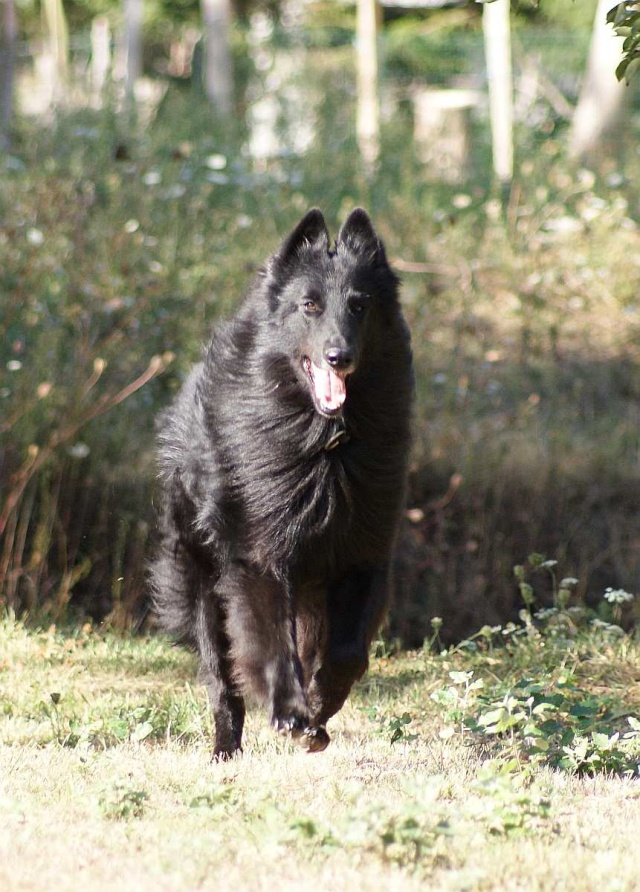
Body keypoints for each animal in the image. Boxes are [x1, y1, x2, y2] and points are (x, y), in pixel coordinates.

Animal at [152, 209, 412, 760]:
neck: (324, 447)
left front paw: (318, 707)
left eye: (360, 306)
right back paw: (225, 751)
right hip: (204, 581)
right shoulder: (259, 557)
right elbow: (271, 641)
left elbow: (347, 652)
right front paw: (293, 715)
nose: (339, 356)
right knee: (223, 681)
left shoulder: (364, 553)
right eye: (309, 305)